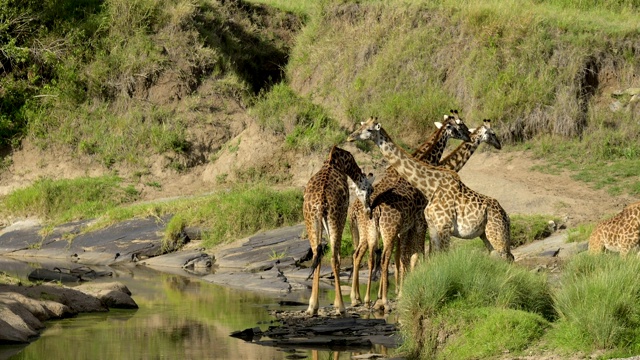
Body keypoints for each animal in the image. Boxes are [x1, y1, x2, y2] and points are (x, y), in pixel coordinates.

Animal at [304, 146, 376, 316]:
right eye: (371, 189)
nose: (369, 209)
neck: (340, 161)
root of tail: (321, 203)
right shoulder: (342, 217)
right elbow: (336, 256)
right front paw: (339, 304)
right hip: (336, 220)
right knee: (333, 259)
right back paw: (342, 307)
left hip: (311, 222)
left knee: (316, 255)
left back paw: (312, 307)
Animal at [348, 111, 472, 310]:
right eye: (459, 126)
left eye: (366, 128)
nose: (468, 135)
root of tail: (354, 209)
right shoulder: (420, 224)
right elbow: (414, 255)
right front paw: (405, 291)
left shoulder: (406, 228)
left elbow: (404, 257)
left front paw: (401, 291)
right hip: (384, 231)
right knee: (381, 257)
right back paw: (376, 300)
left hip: (371, 232)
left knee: (365, 255)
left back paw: (362, 298)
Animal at [348, 116, 512, 268]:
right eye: (362, 126)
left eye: (369, 129)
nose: (350, 137)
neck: (430, 186)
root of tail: (506, 215)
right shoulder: (432, 227)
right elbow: (429, 257)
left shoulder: (441, 227)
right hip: (486, 235)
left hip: (494, 233)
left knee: (507, 257)